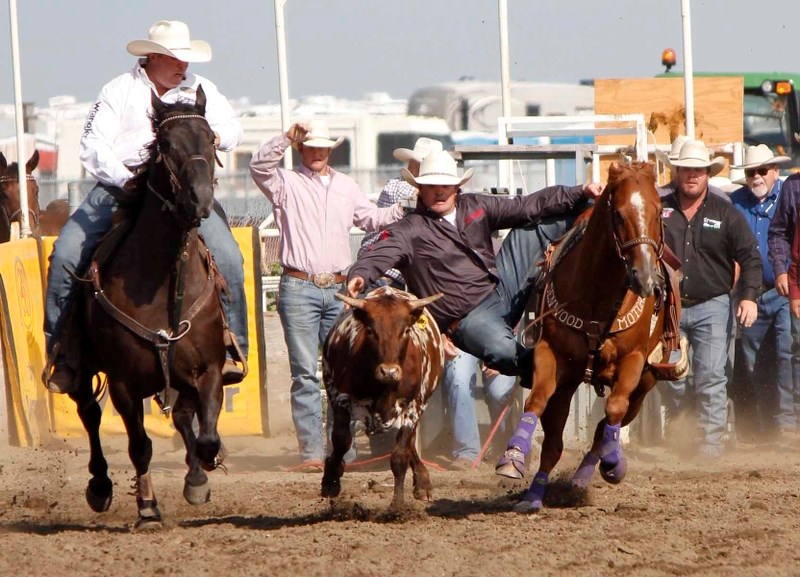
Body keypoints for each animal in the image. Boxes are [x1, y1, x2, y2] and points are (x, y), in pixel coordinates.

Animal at [67, 88, 227, 528]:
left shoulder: (208, 369)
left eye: (212, 139)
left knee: (183, 417)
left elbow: (206, 435)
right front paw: (149, 508)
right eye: (166, 145)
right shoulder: (124, 383)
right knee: (89, 412)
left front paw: (200, 476)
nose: (200, 200)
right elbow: (139, 446)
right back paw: (100, 486)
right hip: (82, 368)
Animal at [496, 162, 684, 512]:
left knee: (609, 423)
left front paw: (613, 464)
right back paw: (534, 495)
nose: (646, 279)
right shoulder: (550, 353)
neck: (597, 297)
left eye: (658, 211)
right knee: (554, 444)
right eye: (619, 214)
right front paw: (512, 457)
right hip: (568, 385)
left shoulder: (634, 361)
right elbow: (536, 401)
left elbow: (613, 410)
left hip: (646, 383)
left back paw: (589, 473)